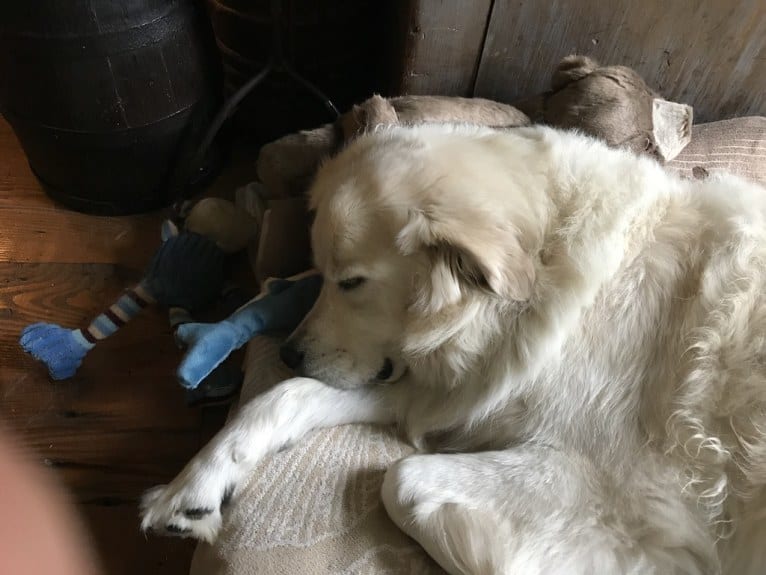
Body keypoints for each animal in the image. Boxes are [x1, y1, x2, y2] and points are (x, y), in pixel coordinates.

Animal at [140, 124, 766, 572]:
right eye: (319, 271)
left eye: (351, 282)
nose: (289, 352)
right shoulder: (453, 389)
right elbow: (282, 398)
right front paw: (195, 485)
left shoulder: (613, 492)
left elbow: (401, 479)